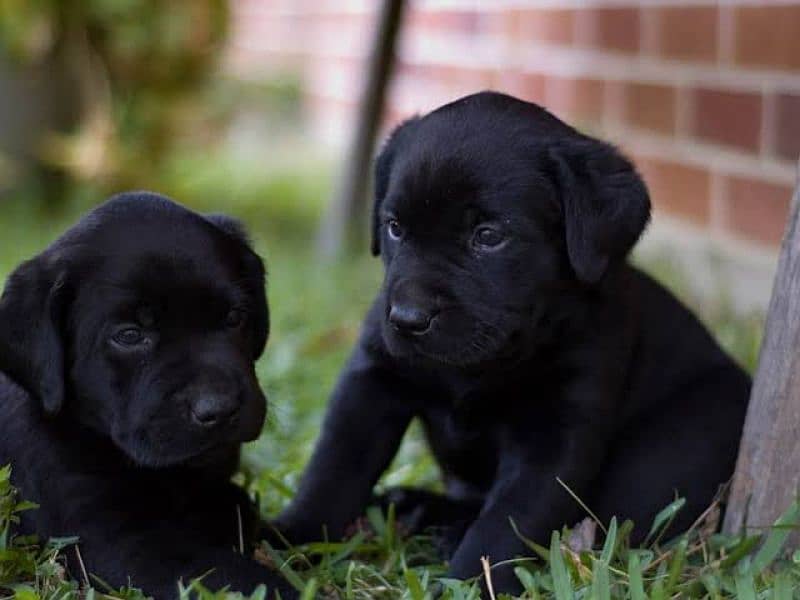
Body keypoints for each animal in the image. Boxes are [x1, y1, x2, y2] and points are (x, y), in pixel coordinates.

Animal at [274, 91, 752, 592]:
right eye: (395, 227)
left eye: (488, 236)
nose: (407, 319)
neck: (478, 367)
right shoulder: (371, 381)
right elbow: (334, 469)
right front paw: (289, 537)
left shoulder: (555, 435)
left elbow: (506, 522)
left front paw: (467, 584)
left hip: (674, 448)